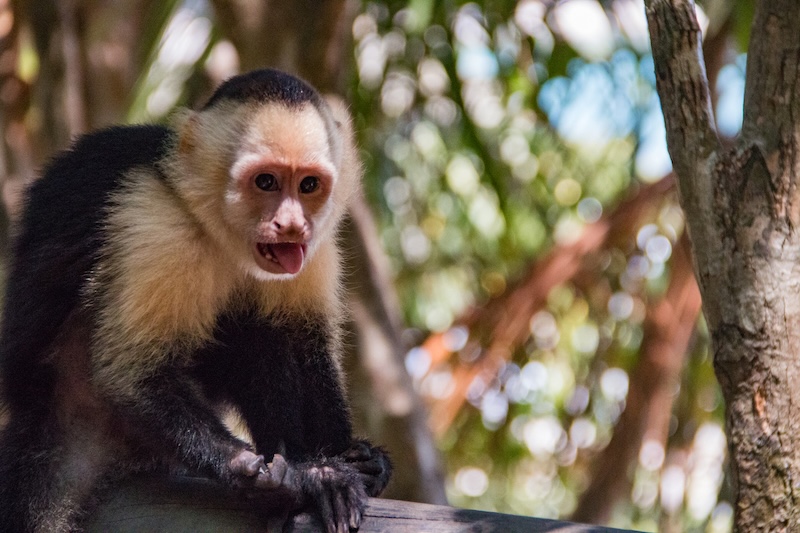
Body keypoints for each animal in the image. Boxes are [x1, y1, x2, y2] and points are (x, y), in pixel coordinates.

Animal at [0, 69, 391, 533]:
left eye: (308, 185)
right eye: (265, 181)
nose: (292, 225)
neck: (218, 229)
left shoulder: (313, 246)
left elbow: (305, 340)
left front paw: (347, 459)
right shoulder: (156, 219)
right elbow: (130, 376)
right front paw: (294, 472)